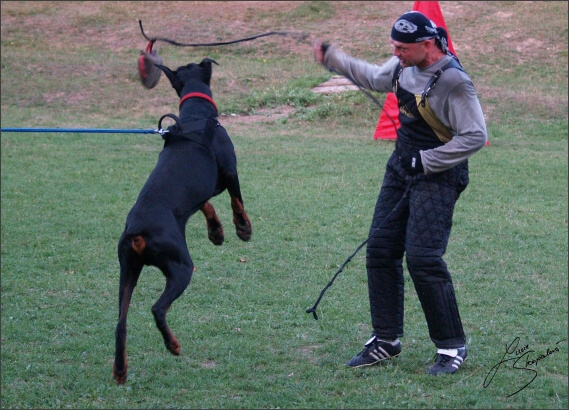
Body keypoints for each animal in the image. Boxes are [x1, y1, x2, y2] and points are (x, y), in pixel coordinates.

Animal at [112, 57, 250, 384]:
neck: (198, 116)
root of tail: (137, 230)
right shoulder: (229, 169)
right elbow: (236, 199)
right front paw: (243, 228)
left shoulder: (202, 191)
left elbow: (207, 204)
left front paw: (216, 232)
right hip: (181, 266)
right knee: (157, 309)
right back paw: (173, 345)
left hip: (128, 269)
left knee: (121, 323)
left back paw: (120, 370)